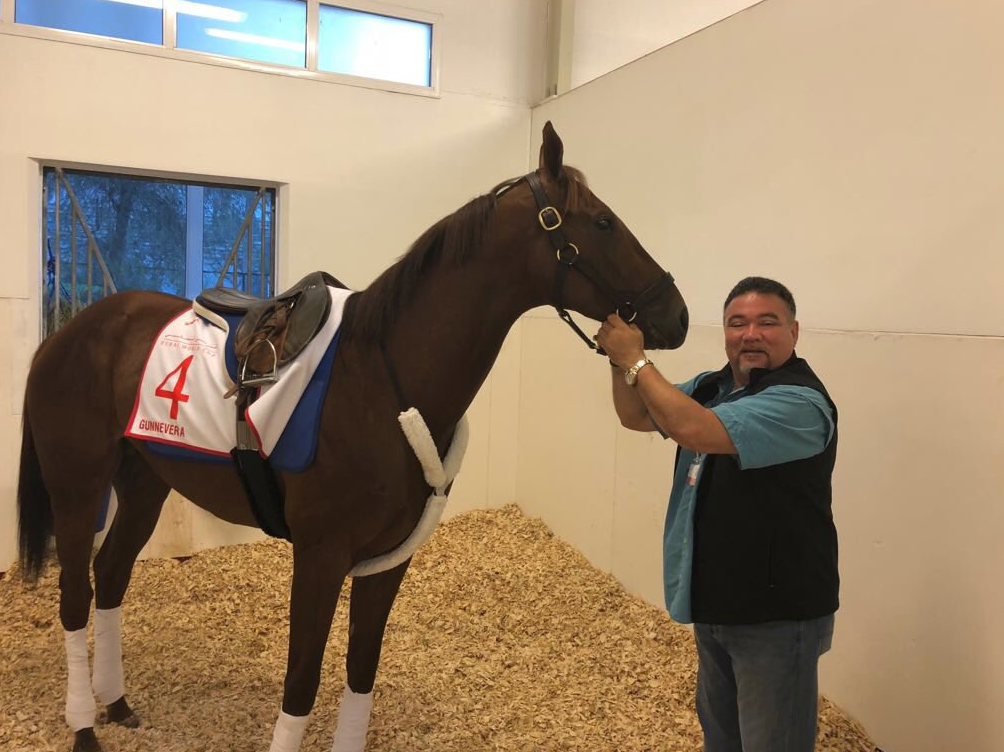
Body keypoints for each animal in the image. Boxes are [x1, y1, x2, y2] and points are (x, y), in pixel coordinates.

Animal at [16, 122, 689, 752]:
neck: (382, 379)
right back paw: (83, 725)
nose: (676, 315)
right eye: (602, 222)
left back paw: (116, 701)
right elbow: (301, 683)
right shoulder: (320, 557)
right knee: (75, 594)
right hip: (78, 488)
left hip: (146, 483)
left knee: (111, 575)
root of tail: (71, 330)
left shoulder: (387, 561)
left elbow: (360, 673)